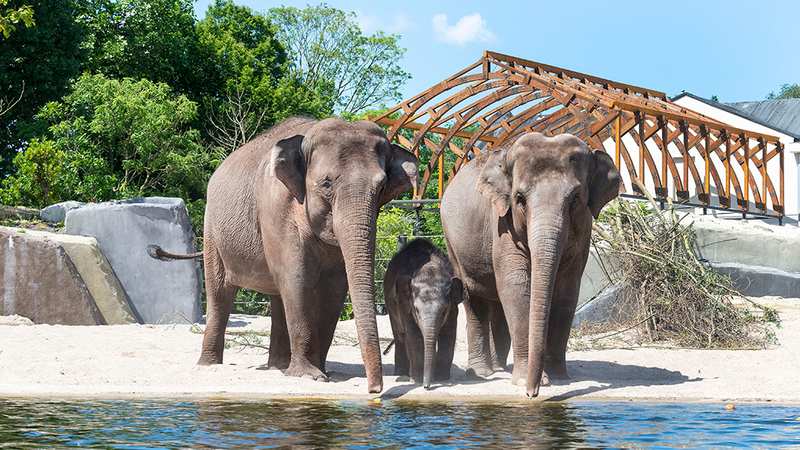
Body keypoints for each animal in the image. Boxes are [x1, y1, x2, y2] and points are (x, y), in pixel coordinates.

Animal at [382, 237, 462, 388]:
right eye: (416, 310)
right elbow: (414, 335)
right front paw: (417, 380)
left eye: (444, 311)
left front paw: (442, 378)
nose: (427, 386)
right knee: (400, 335)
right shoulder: (404, 303)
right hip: (390, 303)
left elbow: (448, 333)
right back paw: (401, 373)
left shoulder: (453, 306)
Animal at [440, 131, 620, 398]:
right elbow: (516, 286)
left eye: (575, 199)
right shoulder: (502, 224)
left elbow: (567, 290)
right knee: (475, 299)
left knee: (497, 304)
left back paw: (500, 367)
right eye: (519, 199)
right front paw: (529, 380)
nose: (531, 393)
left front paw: (559, 377)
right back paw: (483, 372)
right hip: (453, 242)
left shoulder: (584, 231)